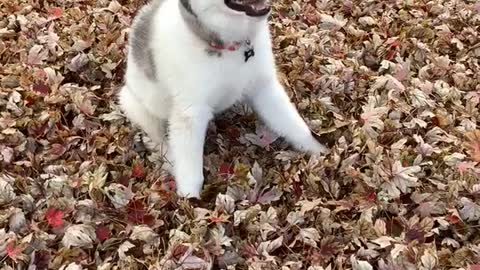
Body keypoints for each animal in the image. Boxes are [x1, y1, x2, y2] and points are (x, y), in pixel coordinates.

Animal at [118, 0, 328, 198]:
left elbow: (294, 125)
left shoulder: (265, 88)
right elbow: (190, 169)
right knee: (162, 141)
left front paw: (320, 152)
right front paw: (190, 201)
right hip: (135, 105)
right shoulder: (191, 113)